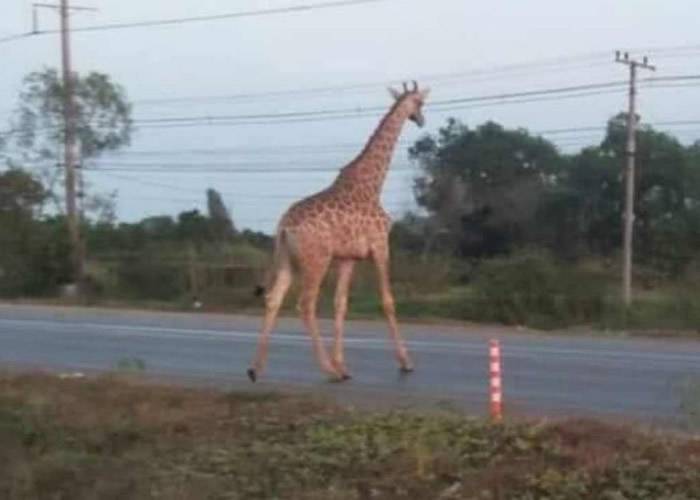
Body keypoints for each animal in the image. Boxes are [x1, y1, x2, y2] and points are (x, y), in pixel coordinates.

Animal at [249, 82, 430, 380]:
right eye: (419, 103)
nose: (421, 120)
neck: (373, 185)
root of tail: (283, 226)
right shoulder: (380, 246)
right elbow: (388, 301)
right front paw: (405, 362)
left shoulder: (348, 257)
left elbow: (340, 304)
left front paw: (342, 362)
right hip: (316, 260)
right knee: (305, 305)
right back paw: (328, 370)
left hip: (287, 260)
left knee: (273, 298)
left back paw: (256, 368)